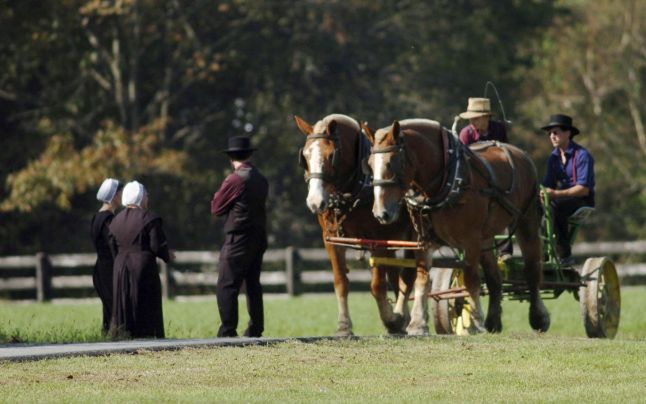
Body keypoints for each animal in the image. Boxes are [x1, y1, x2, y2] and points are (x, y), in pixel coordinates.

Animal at [294, 113, 426, 334]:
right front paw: (344, 326)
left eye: (331, 155)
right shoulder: (331, 239)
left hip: (414, 236)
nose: (314, 202)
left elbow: (377, 285)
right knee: (396, 276)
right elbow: (341, 281)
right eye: (305, 156)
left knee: (407, 276)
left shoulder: (378, 240)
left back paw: (404, 319)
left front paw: (390, 319)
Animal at [364, 118, 552, 332]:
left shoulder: (470, 240)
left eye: (393, 162)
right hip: (486, 236)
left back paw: (538, 316)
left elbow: (471, 279)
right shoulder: (424, 240)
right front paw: (418, 323)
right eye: (370, 165)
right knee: (495, 278)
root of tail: (521, 154)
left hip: (526, 221)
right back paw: (493, 321)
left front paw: (476, 321)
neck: (447, 182)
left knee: (532, 268)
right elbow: (421, 278)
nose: (381, 213)